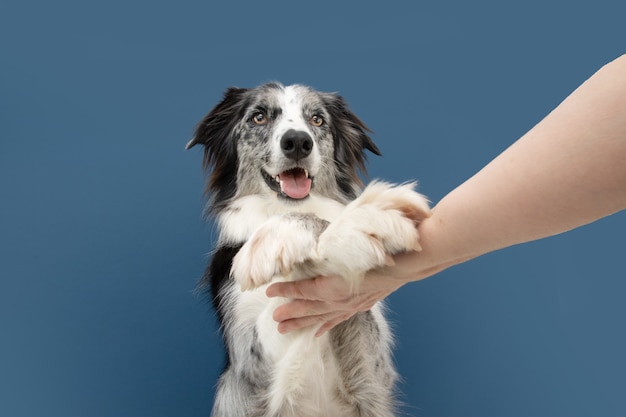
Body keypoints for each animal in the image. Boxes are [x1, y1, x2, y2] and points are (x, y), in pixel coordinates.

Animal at [185, 82, 428, 416]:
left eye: (317, 119)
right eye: (258, 116)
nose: (298, 142)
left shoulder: (374, 371)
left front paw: (368, 218)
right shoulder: (249, 370)